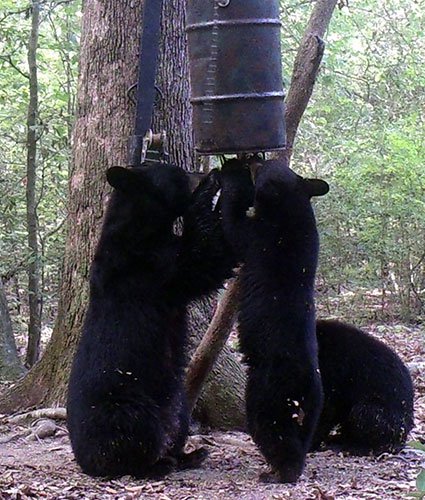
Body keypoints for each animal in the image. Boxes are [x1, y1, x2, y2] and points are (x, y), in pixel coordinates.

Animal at [68, 163, 237, 476]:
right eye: (179, 174)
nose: (204, 172)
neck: (141, 228)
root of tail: (83, 460)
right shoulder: (147, 268)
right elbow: (201, 259)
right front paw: (210, 190)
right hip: (127, 405)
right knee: (136, 435)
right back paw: (157, 464)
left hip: (176, 403)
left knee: (178, 424)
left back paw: (190, 454)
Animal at [220, 158, 330, 482]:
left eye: (263, 165)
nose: (254, 160)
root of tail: (305, 383)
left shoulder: (260, 237)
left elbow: (234, 226)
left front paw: (230, 177)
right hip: (313, 408)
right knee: (302, 435)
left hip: (268, 392)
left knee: (272, 432)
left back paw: (279, 472)